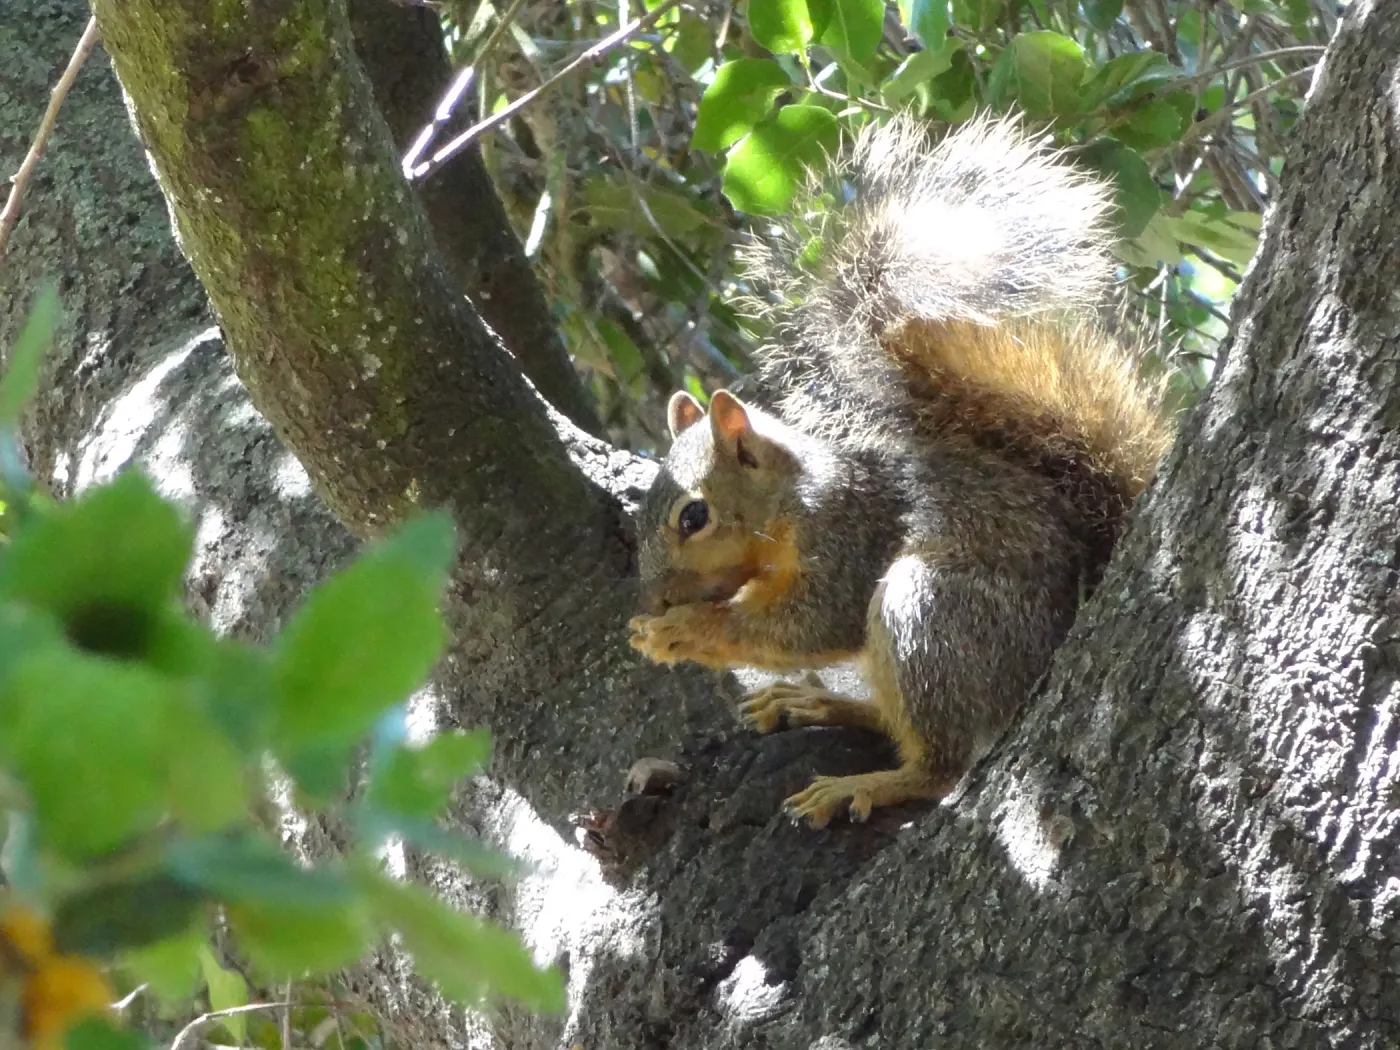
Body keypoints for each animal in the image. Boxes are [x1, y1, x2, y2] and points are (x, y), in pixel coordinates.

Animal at [627, 114, 1173, 829]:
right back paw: (821, 704)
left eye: (694, 516)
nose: (655, 600)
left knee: (941, 766)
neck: (793, 503)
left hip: (931, 614)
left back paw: (869, 782)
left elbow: (813, 623)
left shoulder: (850, 536)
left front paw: (684, 631)